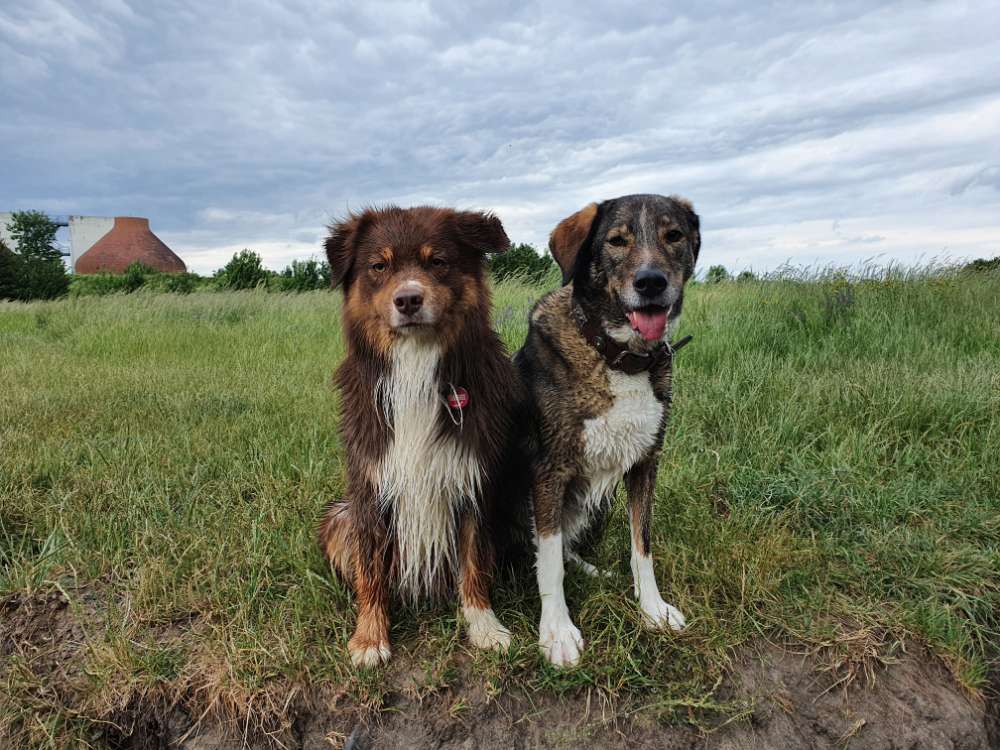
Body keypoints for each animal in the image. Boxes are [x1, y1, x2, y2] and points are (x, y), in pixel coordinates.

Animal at [318, 206, 524, 668]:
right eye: (379, 266)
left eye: (438, 262)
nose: (408, 299)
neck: (416, 367)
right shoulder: (370, 483)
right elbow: (371, 570)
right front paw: (370, 637)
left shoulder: (472, 479)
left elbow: (474, 561)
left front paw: (484, 625)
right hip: (338, 518)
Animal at [512, 194, 700, 668]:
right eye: (617, 241)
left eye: (674, 236)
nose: (651, 283)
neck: (620, 358)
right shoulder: (548, 472)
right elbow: (549, 561)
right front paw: (557, 632)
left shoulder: (646, 464)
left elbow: (642, 545)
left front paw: (652, 609)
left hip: (600, 503)